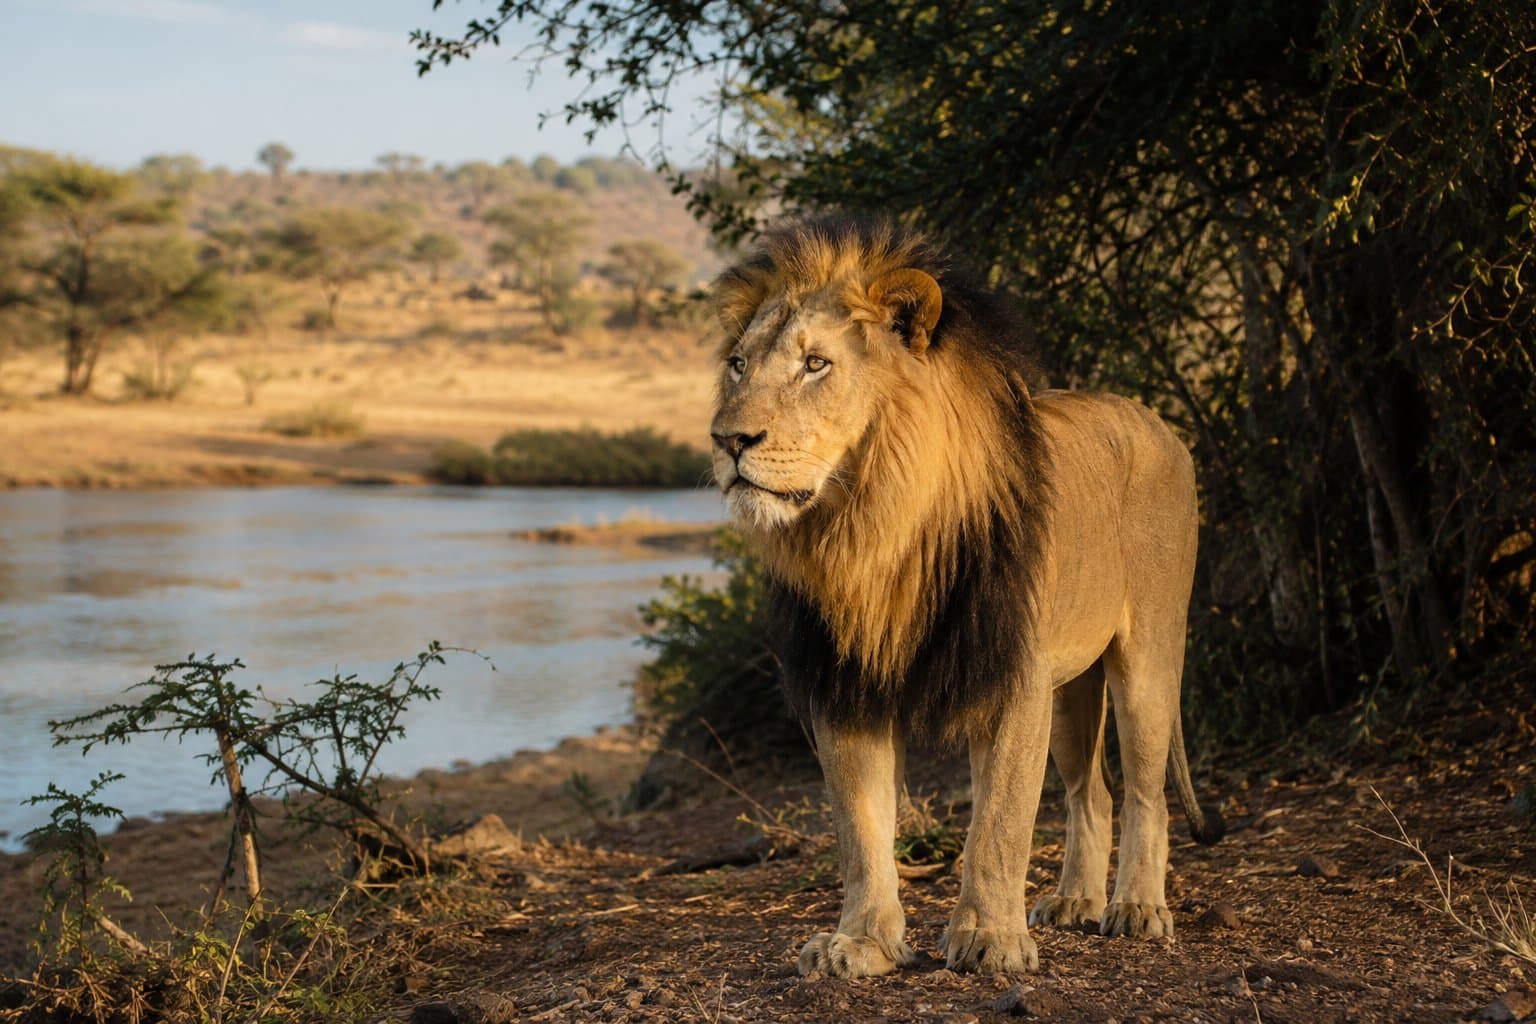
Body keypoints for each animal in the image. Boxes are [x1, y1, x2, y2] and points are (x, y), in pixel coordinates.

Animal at [708, 214, 1224, 979]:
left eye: (816, 365)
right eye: (739, 365)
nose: (728, 439)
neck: (871, 530)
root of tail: (1158, 423)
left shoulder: (1011, 677)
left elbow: (1000, 823)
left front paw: (988, 938)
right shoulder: (847, 684)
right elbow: (861, 830)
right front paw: (860, 942)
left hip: (1148, 657)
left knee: (1145, 791)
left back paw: (1136, 909)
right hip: (1070, 688)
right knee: (1091, 792)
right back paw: (1075, 902)